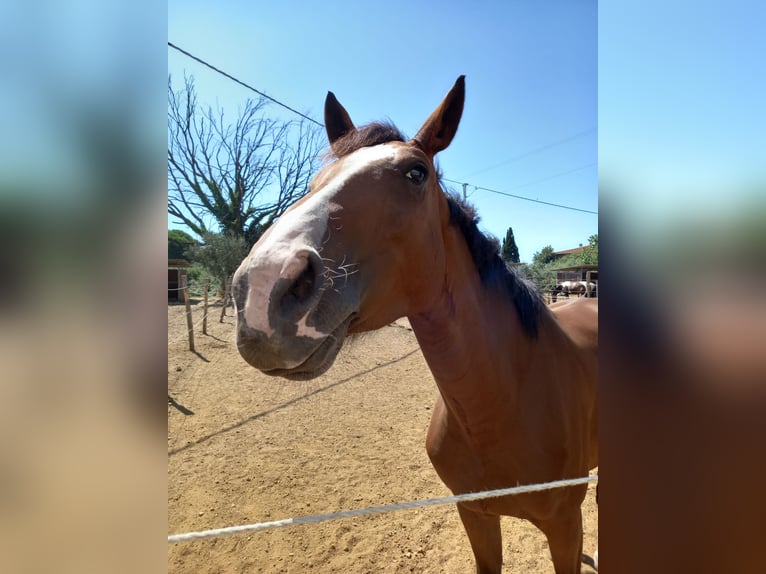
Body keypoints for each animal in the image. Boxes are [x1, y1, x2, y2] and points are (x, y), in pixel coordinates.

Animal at [232, 77, 600, 574]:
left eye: (416, 173)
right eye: (314, 181)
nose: (264, 288)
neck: (502, 405)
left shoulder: (563, 527)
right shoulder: (475, 515)